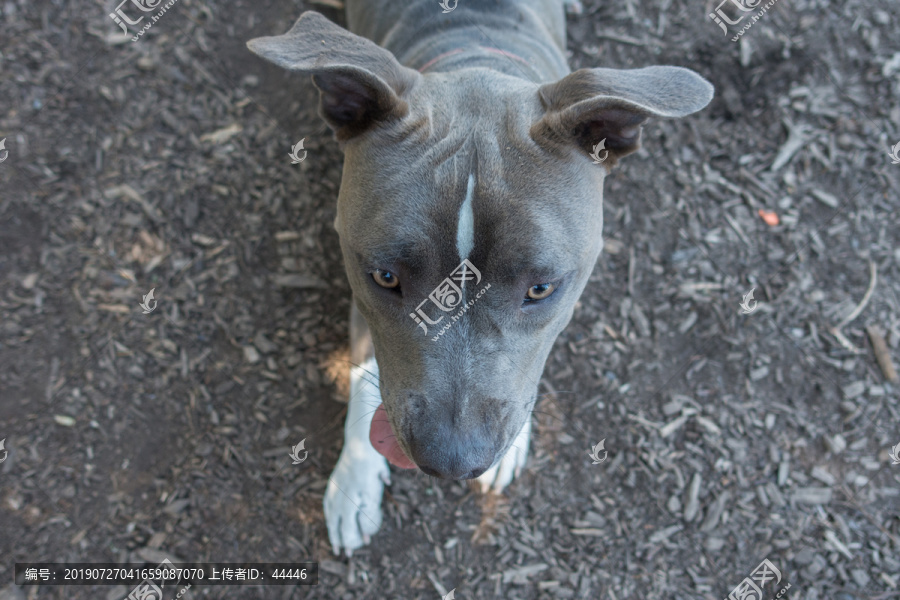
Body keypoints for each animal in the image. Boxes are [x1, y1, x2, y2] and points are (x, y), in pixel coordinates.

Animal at [246, 0, 712, 556]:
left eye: (540, 288)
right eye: (385, 276)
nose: (452, 460)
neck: (472, 56)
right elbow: (363, 375)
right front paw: (354, 484)